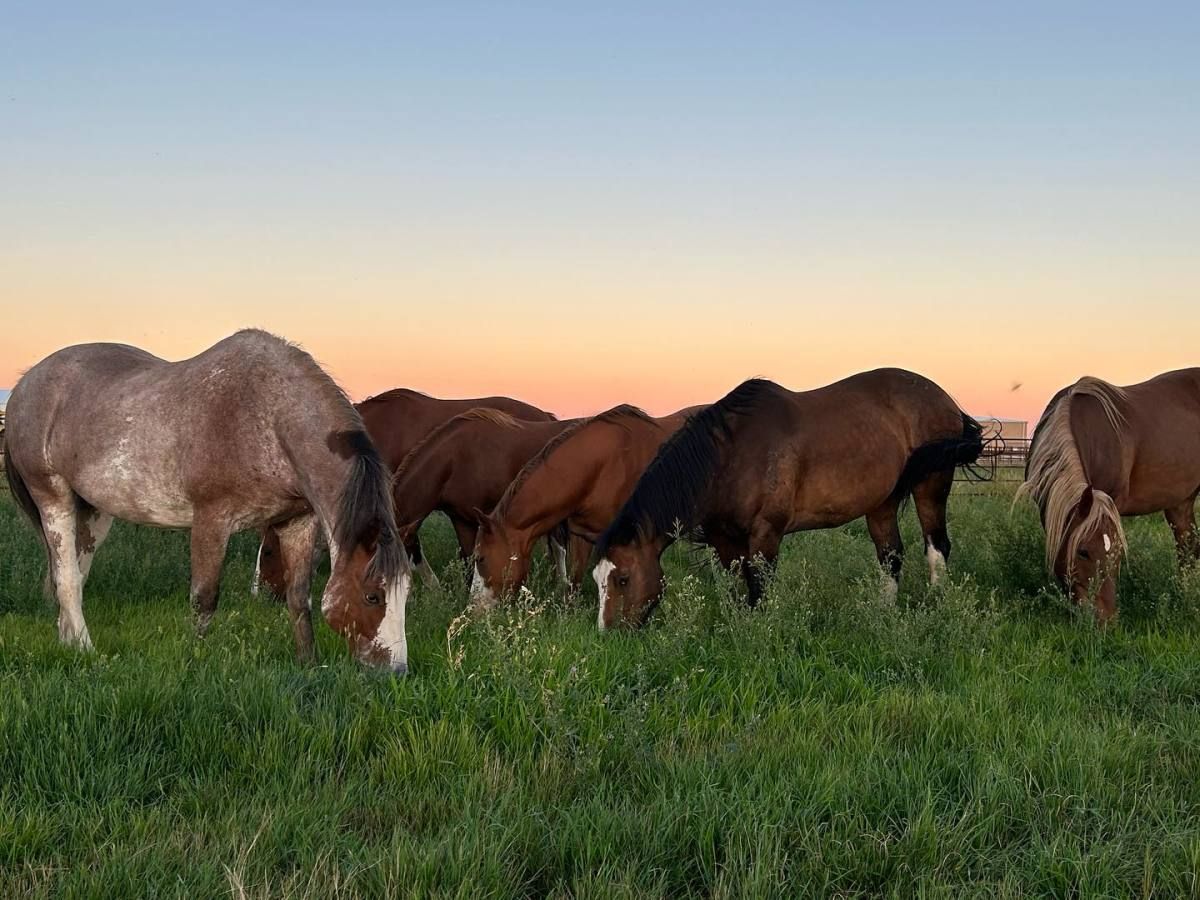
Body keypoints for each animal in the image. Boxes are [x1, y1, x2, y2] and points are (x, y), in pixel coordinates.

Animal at [3, 330, 411, 671]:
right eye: (373, 596)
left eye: (406, 593)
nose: (396, 671)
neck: (267, 418)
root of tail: (24, 383)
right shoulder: (211, 520)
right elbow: (204, 598)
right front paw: (193, 661)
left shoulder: (297, 523)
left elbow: (299, 598)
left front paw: (308, 664)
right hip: (53, 498)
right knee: (67, 578)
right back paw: (87, 649)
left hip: (94, 514)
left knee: (73, 572)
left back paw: (69, 643)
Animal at [593, 370, 984, 629]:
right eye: (598, 580)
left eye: (623, 579)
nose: (608, 634)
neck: (731, 456)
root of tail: (944, 400)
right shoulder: (724, 539)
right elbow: (736, 590)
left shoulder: (766, 534)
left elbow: (758, 589)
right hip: (882, 501)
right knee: (890, 555)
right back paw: (882, 613)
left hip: (932, 484)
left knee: (936, 547)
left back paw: (937, 606)